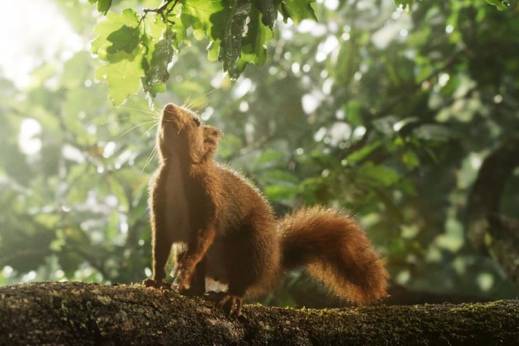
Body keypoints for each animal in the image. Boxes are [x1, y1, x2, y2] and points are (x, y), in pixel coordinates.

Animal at [144, 102, 388, 314]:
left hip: (252, 249)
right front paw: (157, 280)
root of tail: (275, 260)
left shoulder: (210, 202)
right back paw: (194, 291)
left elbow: (203, 238)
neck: (178, 168)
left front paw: (183, 271)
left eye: (196, 121)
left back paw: (229, 297)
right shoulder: (160, 207)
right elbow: (159, 248)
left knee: (241, 281)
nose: (168, 106)